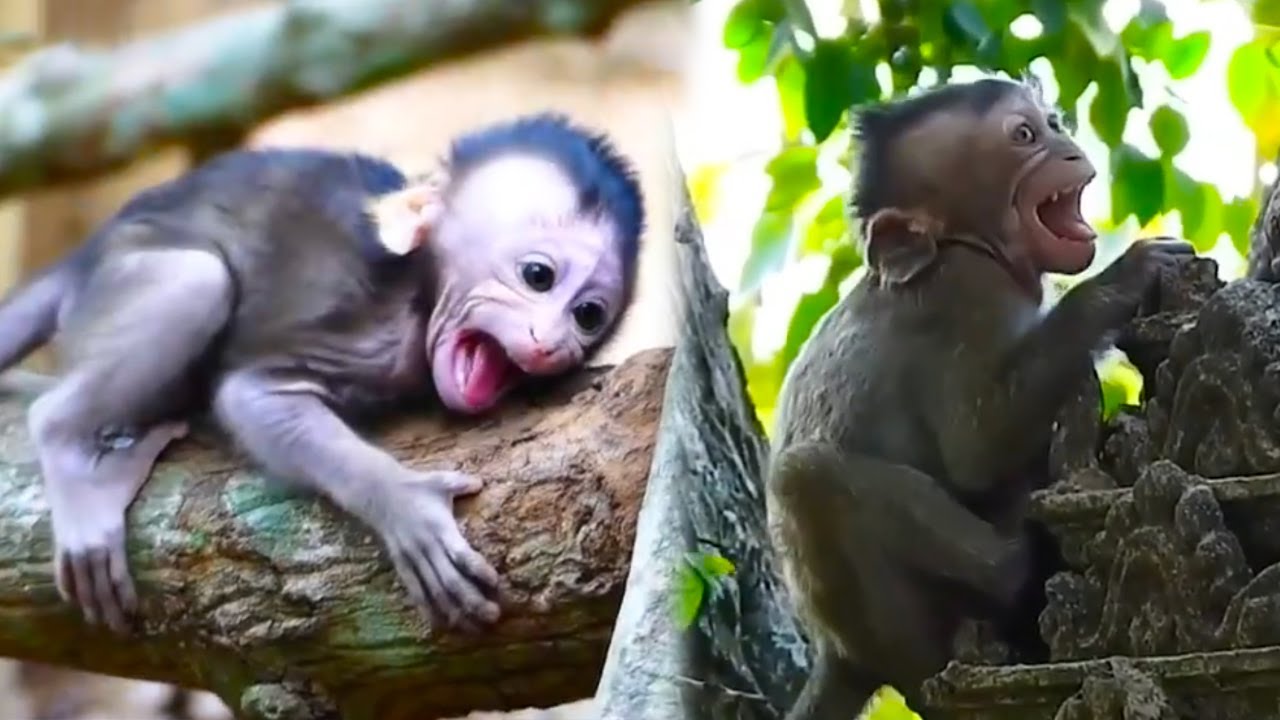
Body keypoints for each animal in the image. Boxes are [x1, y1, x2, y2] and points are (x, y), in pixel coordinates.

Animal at [0, 113, 645, 636]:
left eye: (588, 316)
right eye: (538, 276)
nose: (555, 345)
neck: (421, 290)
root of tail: (87, 256)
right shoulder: (369, 334)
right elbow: (251, 396)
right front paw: (405, 502)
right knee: (194, 282)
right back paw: (70, 452)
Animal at [763, 77, 1196, 718]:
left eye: (1052, 123)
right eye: (1025, 136)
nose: (1068, 146)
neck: (963, 243)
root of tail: (840, 654)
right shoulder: (969, 292)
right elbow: (975, 451)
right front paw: (1123, 278)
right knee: (804, 476)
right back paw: (1010, 578)